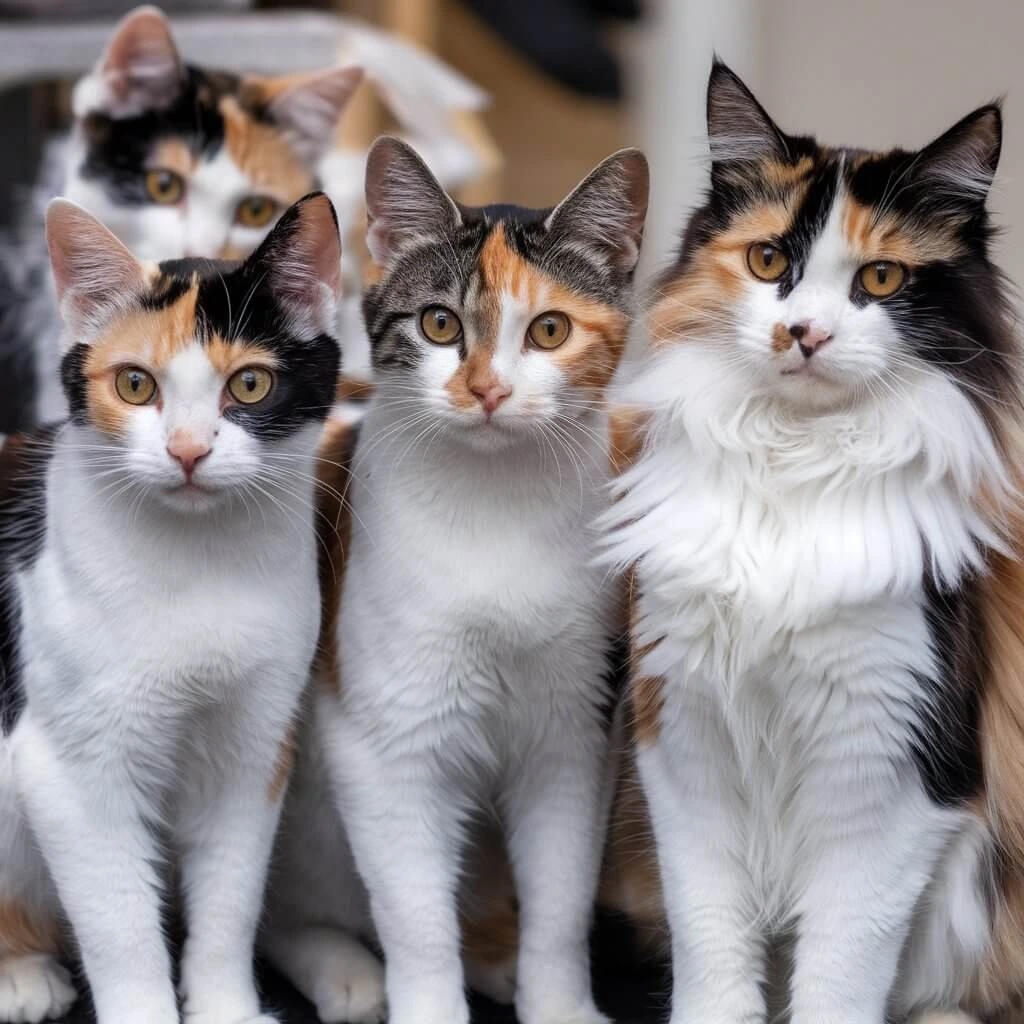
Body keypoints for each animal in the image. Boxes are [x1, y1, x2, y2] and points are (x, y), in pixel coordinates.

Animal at [0, 192, 344, 1024]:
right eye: (135, 385)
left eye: (248, 386)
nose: (188, 451)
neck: (197, 565)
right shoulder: (70, 770)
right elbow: (121, 923)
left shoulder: (254, 747)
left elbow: (232, 899)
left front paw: (226, 1006)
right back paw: (19, 972)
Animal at [266, 136, 647, 1024]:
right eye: (439, 323)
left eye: (550, 330)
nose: (487, 388)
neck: (493, 505)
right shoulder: (383, 743)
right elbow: (414, 916)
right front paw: (426, 1002)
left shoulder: (575, 733)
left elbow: (561, 902)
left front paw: (558, 1003)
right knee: (287, 911)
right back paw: (345, 972)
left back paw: (496, 956)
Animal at [602, 61, 1024, 1024]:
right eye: (769, 263)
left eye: (881, 278)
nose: (805, 333)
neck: (792, 467)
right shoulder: (683, 748)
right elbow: (713, 954)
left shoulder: (887, 781)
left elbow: (839, 971)